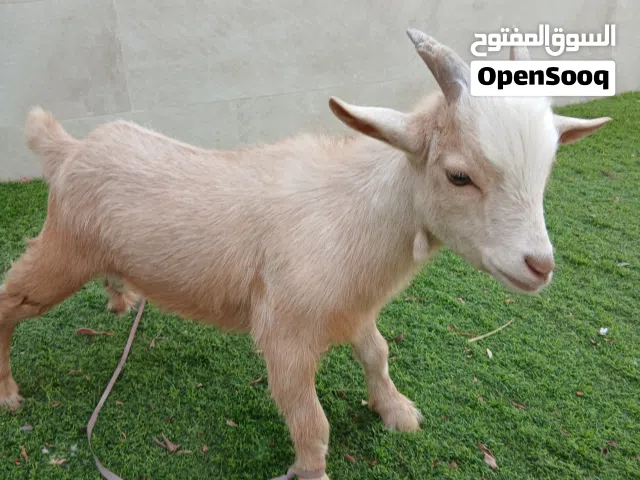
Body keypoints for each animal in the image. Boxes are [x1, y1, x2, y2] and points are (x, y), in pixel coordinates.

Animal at [0, 29, 610, 479]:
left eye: (547, 170)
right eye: (459, 175)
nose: (539, 265)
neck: (351, 213)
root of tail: (70, 149)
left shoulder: (355, 308)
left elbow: (378, 354)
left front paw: (396, 411)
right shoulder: (285, 335)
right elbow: (312, 424)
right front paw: (313, 468)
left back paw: (121, 298)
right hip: (62, 250)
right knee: (10, 301)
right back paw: (7, 393)